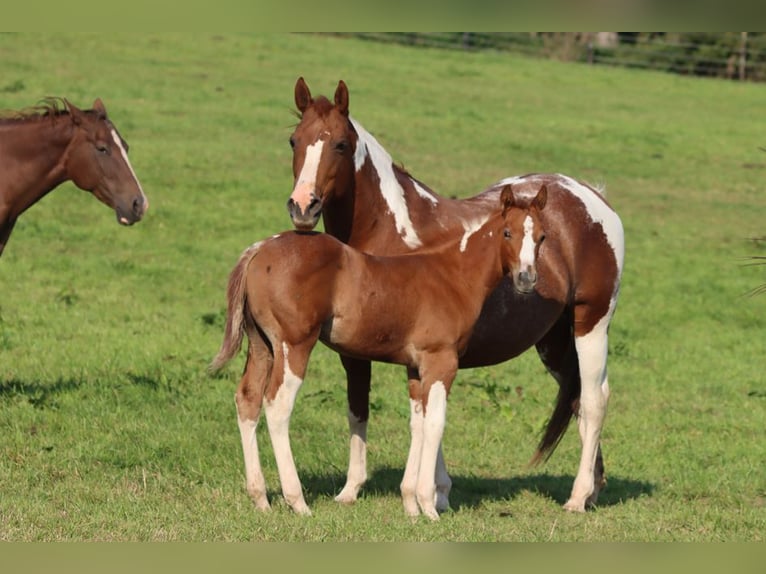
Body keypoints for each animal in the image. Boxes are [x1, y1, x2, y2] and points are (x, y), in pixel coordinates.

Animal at [210, 184, 544, 520]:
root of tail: (260, 248)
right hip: (294, 345)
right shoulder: (441, 361)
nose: (527, 278)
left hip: (261, 345)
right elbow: (435, 424)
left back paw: (260, 498)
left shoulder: (415, 367)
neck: (454, 275)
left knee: (248, 399)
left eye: (541, 237)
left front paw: (410, 503)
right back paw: (297, 501)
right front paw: (429, 505)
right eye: (507, 233)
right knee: (277, 405)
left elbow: (417, 424)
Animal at [284, 76, 628, 512]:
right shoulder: (378, 352)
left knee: (596, 399)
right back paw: (594, 488)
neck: (391, 234)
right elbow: (368, 411)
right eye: (294, 140)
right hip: (552, 340)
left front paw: (412, 493)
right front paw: (415, 492)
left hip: (591, 322)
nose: (303, 207)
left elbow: (415, 417)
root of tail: (593, 198)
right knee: (579, 398)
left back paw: (578, 496)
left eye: (341, 145)